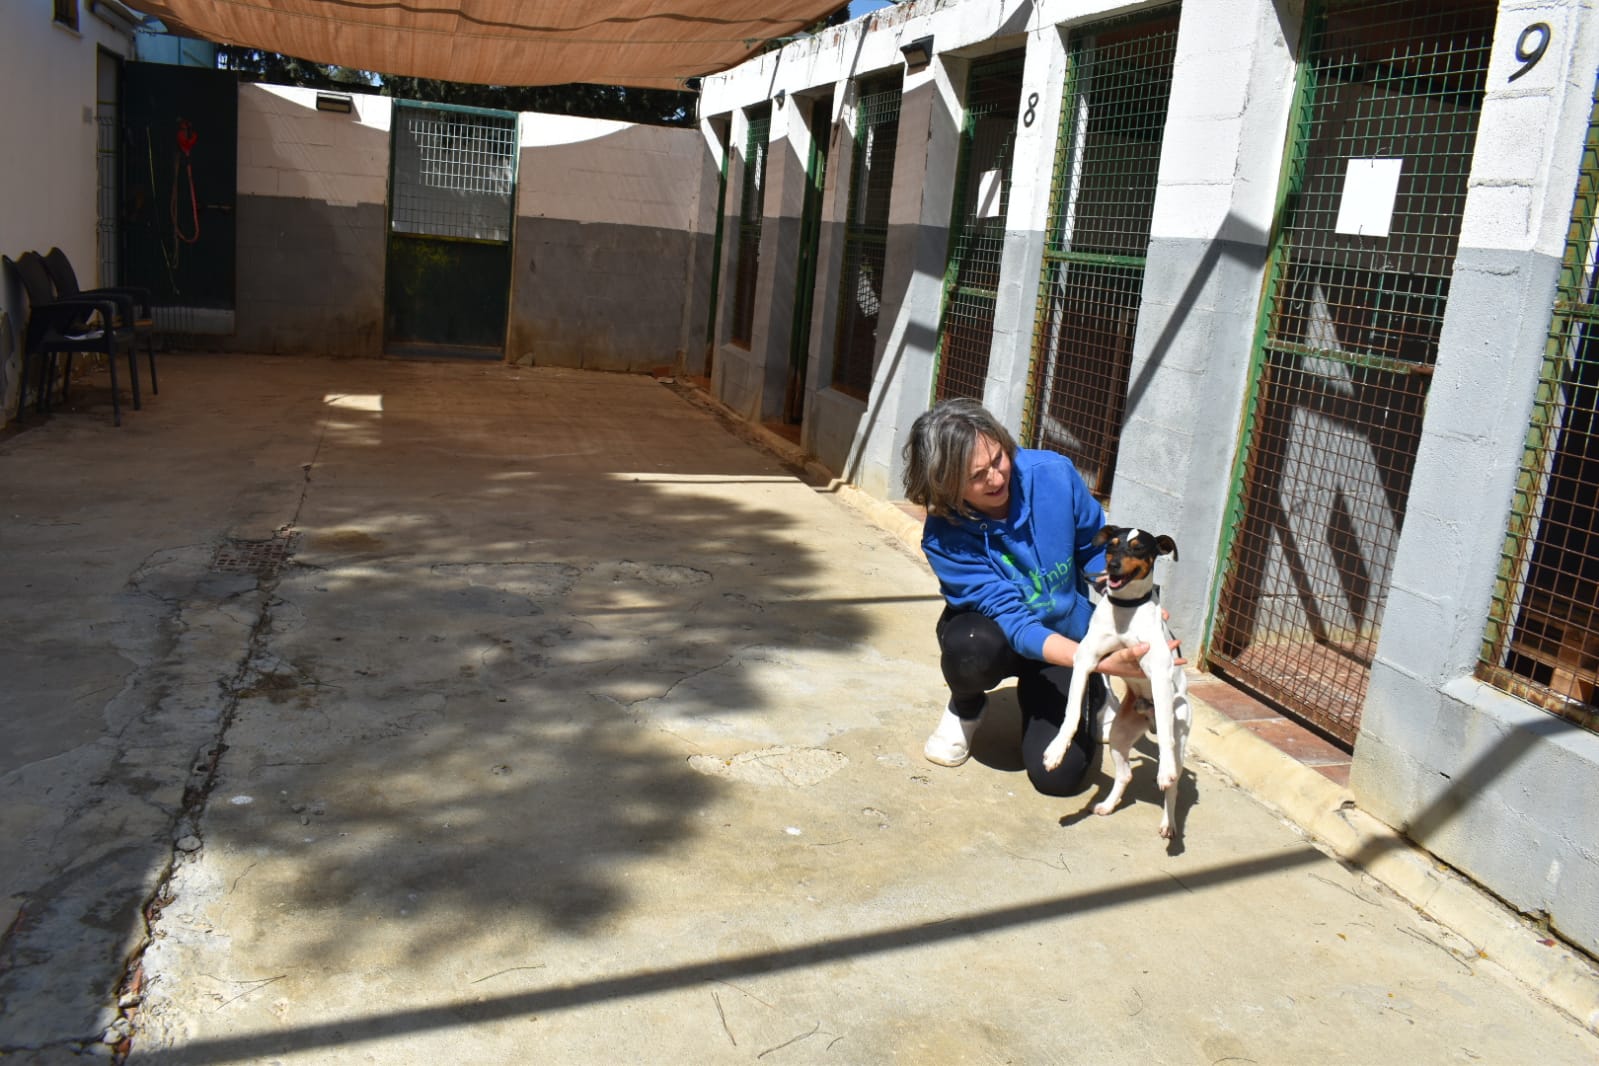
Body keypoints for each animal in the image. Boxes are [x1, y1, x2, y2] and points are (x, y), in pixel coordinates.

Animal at [1041, 525, 1190, 838]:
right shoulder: (1085, 660)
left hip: (1180, 733)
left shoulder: (1159, 673)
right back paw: (1108, 805)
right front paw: (1057, 751)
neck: (1126, 609)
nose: (1112, 566)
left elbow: (1165, 739)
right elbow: (1072, 713)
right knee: (1126, 774)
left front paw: (1164, 772)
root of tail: (1147, 716)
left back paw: (1169, 823)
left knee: (1173, 783)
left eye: (1137, 547)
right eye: (1110, 545)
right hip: (1120, 736)